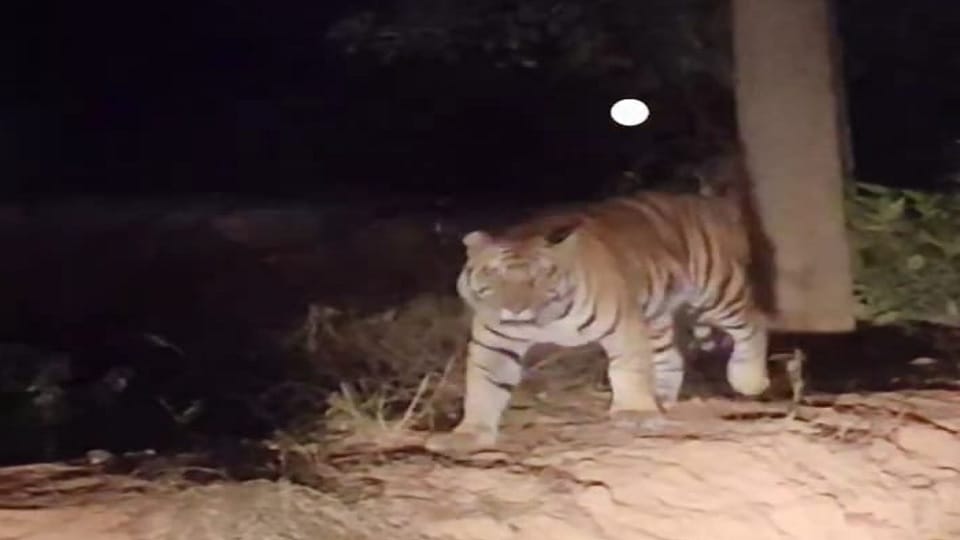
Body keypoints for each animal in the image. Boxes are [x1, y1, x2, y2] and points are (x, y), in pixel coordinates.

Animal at [425, 177, 772, 452]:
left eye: (540, 276)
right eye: (494, 273)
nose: (516, 309)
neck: (546, 323)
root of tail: (709, 201)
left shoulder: (625, 326)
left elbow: (628, 369)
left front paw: (634, 413)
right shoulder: (495, 342)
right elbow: (483, 386)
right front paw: (468, 434)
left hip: (718, 291)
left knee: (753, 324)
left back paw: (749, 380)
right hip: (657, 316)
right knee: (671, 357)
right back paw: (660, 399)